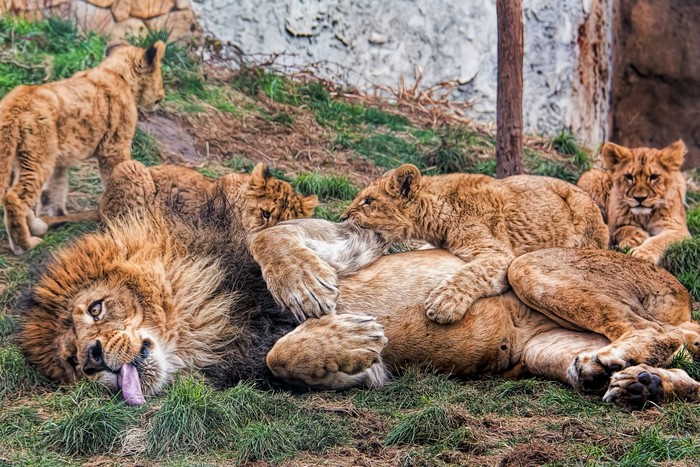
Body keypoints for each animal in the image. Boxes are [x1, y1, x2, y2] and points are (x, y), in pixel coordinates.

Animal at [0, 40, 166, 255]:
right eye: (160, 76)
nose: (162, 96)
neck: (115, 72)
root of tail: (14, 104)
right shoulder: (114, 146)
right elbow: (119, 173)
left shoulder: (59, 162)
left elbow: (55, 190)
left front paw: (55, 215)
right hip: (38, 156)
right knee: (15, 198)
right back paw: (26, 244)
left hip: (24, 157)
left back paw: (35, 228)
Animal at [18, 200, 700, 410]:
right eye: (69, 362)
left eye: (95, 310)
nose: (94, 358)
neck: (202, 325)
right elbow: (284, 362)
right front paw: (349, 343)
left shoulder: (361, 234)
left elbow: (273, 239)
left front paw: (311, 297)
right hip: (545, 348)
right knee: (668, 367)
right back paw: (634, 383)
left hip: (530, 266)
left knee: (658, 331)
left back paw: (630, 364)